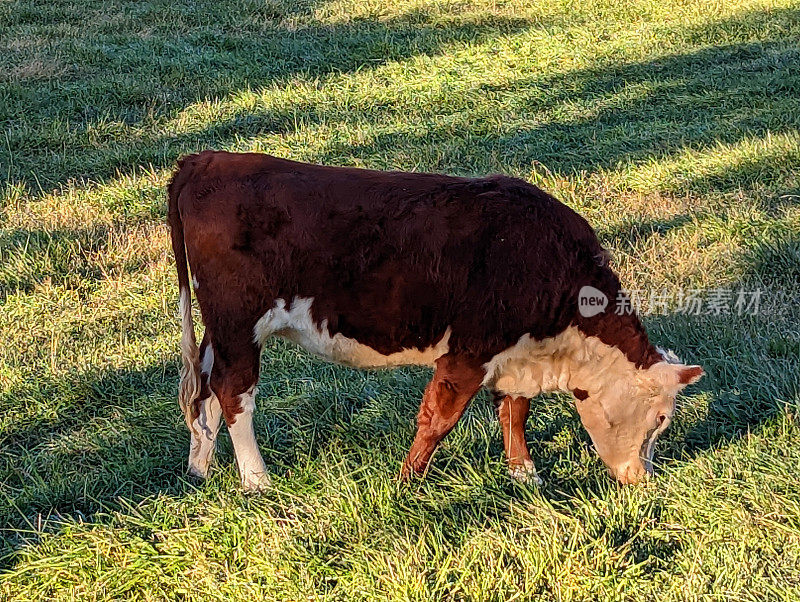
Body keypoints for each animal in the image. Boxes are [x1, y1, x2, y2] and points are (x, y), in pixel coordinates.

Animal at [167, 149, 700, 488]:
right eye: (660, 418)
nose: (644, 480)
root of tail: (205, 159)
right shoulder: (468, 352)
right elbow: (439, 419)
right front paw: (407, 481)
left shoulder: (514, 356)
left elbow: (514, 411)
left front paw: (525, 476)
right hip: (239, 322)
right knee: (234, 392)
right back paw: (256, 480)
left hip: (219, 330)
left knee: (205, 390)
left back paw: (201, 470)